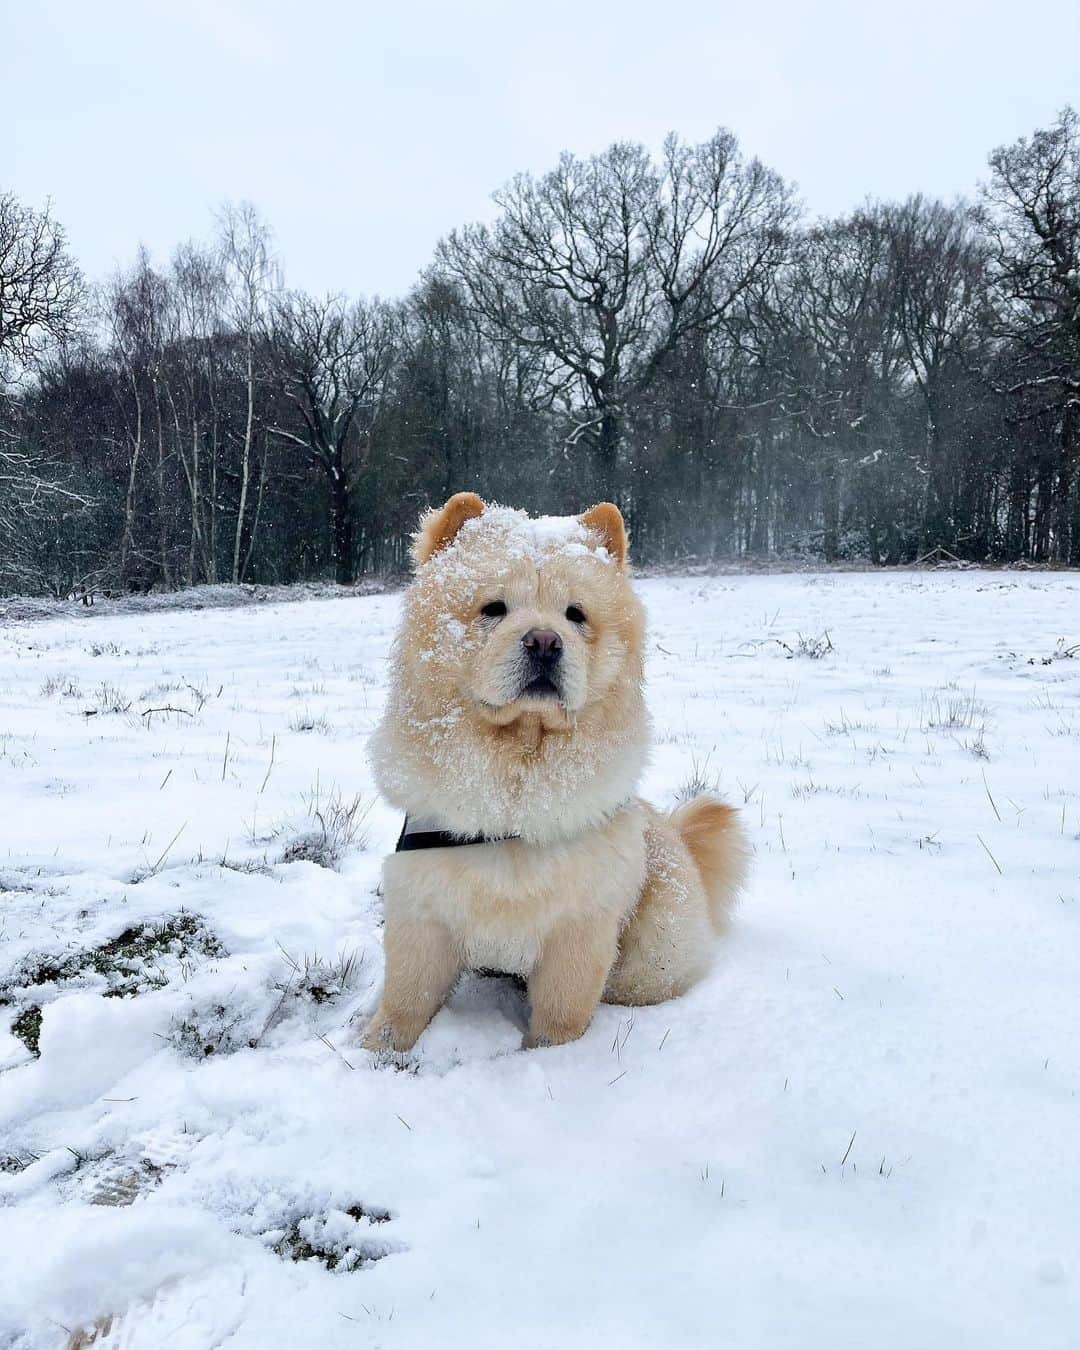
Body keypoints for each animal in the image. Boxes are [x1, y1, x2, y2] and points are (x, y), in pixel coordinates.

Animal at [361, 496, 745, 1053]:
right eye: (494, 608)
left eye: (575, 615)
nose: (544, 641)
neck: (519, 768)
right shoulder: (423, 908)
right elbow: (405, 998)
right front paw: (377, 1049)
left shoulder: (580, 926)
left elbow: (563, 1011)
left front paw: (548, 1057)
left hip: (651, 955)